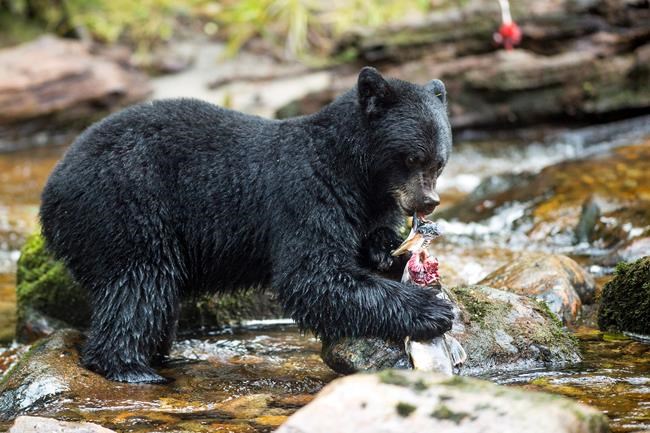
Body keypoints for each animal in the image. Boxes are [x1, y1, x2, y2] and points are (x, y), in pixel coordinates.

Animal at [39, 67, 454, 383]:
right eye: (411, 157)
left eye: (440, 162)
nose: (427, 203)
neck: (354, 172)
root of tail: (51, 191)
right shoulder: (307, 194)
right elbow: (313, 275)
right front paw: (430, 309)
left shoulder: (373, 204)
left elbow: (371, 239)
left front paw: (391, 253)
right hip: (126, 208)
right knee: (139, 285)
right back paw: (130, 368)